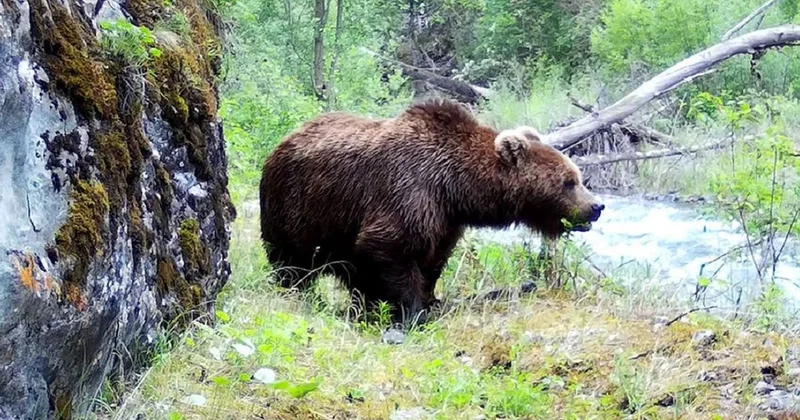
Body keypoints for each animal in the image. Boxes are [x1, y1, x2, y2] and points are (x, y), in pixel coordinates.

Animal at [259, 99, 604, 326]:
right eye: (569, 181)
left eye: (577, 177)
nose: (596, 207)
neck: (456, 187)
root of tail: (284, 140)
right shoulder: (408, 191)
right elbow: (390, 248)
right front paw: (411, 312)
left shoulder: (445, 219)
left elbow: (433, 259)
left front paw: (429, 299)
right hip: (297, 208)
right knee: (292, 262)